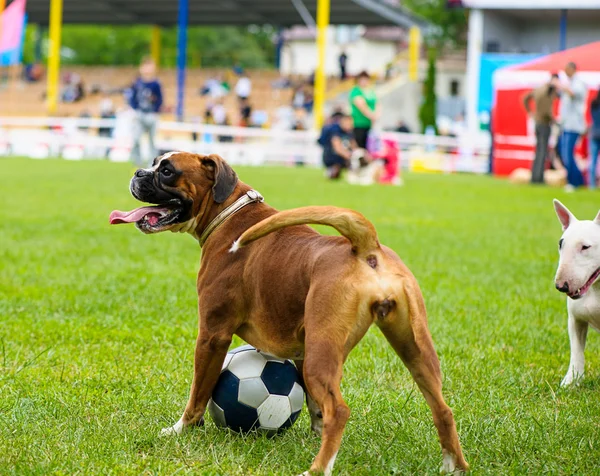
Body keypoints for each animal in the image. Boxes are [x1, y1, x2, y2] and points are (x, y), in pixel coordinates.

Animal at [111, 152, 468, 472]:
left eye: (167, 171)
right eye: (155, 164)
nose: (139, 172)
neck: (229, 211)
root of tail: (366, 246)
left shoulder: (212, 336)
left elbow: (199, 391)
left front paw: (181, 429)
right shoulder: (301, 346)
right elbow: (312, 402)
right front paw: (314, 432)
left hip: (323, 354)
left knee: (340, 410)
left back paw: (318, 469)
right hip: (414, 350)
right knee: (443, 409)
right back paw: (455, 465)